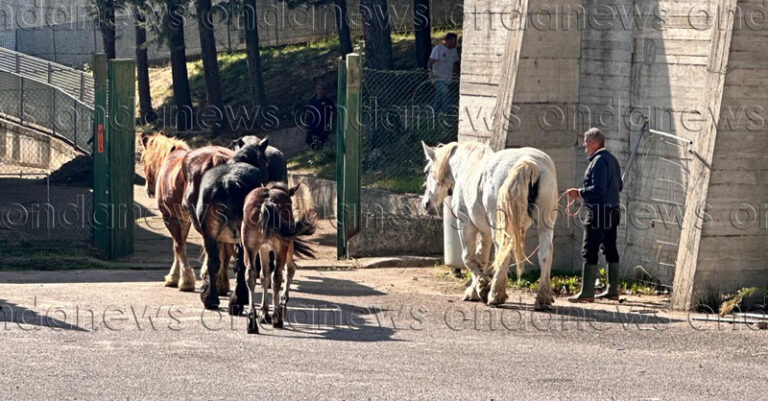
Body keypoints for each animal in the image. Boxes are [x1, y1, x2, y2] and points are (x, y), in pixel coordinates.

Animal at [195, 137, 272, 312]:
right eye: (265, 159)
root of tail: (226, 183)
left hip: (210, 234)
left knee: (213, 262)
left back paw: (211, 299)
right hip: (244, 234)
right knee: (241, 264)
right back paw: (236, 302)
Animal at [238, 181, 314, 332]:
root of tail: (267, 202)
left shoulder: (263, 249)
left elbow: (263, 276)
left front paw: (264, 313)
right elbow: (287, 270)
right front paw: (280, 304)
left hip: (249, 247)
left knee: (251, 274)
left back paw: (252, 321)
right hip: (282, 247)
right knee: (279, 275)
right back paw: (277, 318)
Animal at [420, 141, 560, 310]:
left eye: (428, 171)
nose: (426, 204)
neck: (467, 166)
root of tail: (529, 162)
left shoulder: (466, 224)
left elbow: (468, 257)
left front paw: (482, 287)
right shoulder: (484, 231)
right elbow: (481, 258)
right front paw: (475, 290)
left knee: (503, 252)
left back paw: (496, 295)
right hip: (545, 225)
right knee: (545, 253)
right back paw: (543, 299)